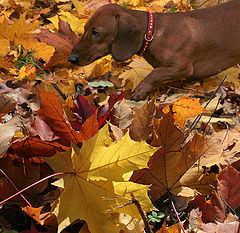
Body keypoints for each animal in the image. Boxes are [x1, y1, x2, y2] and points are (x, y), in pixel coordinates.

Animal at [68, 0, 240, 101]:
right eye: (85, 29)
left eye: (96, 33)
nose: (71, 59)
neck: (153, 32)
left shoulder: (182, 67)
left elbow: (155, 73)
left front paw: (141, 89)